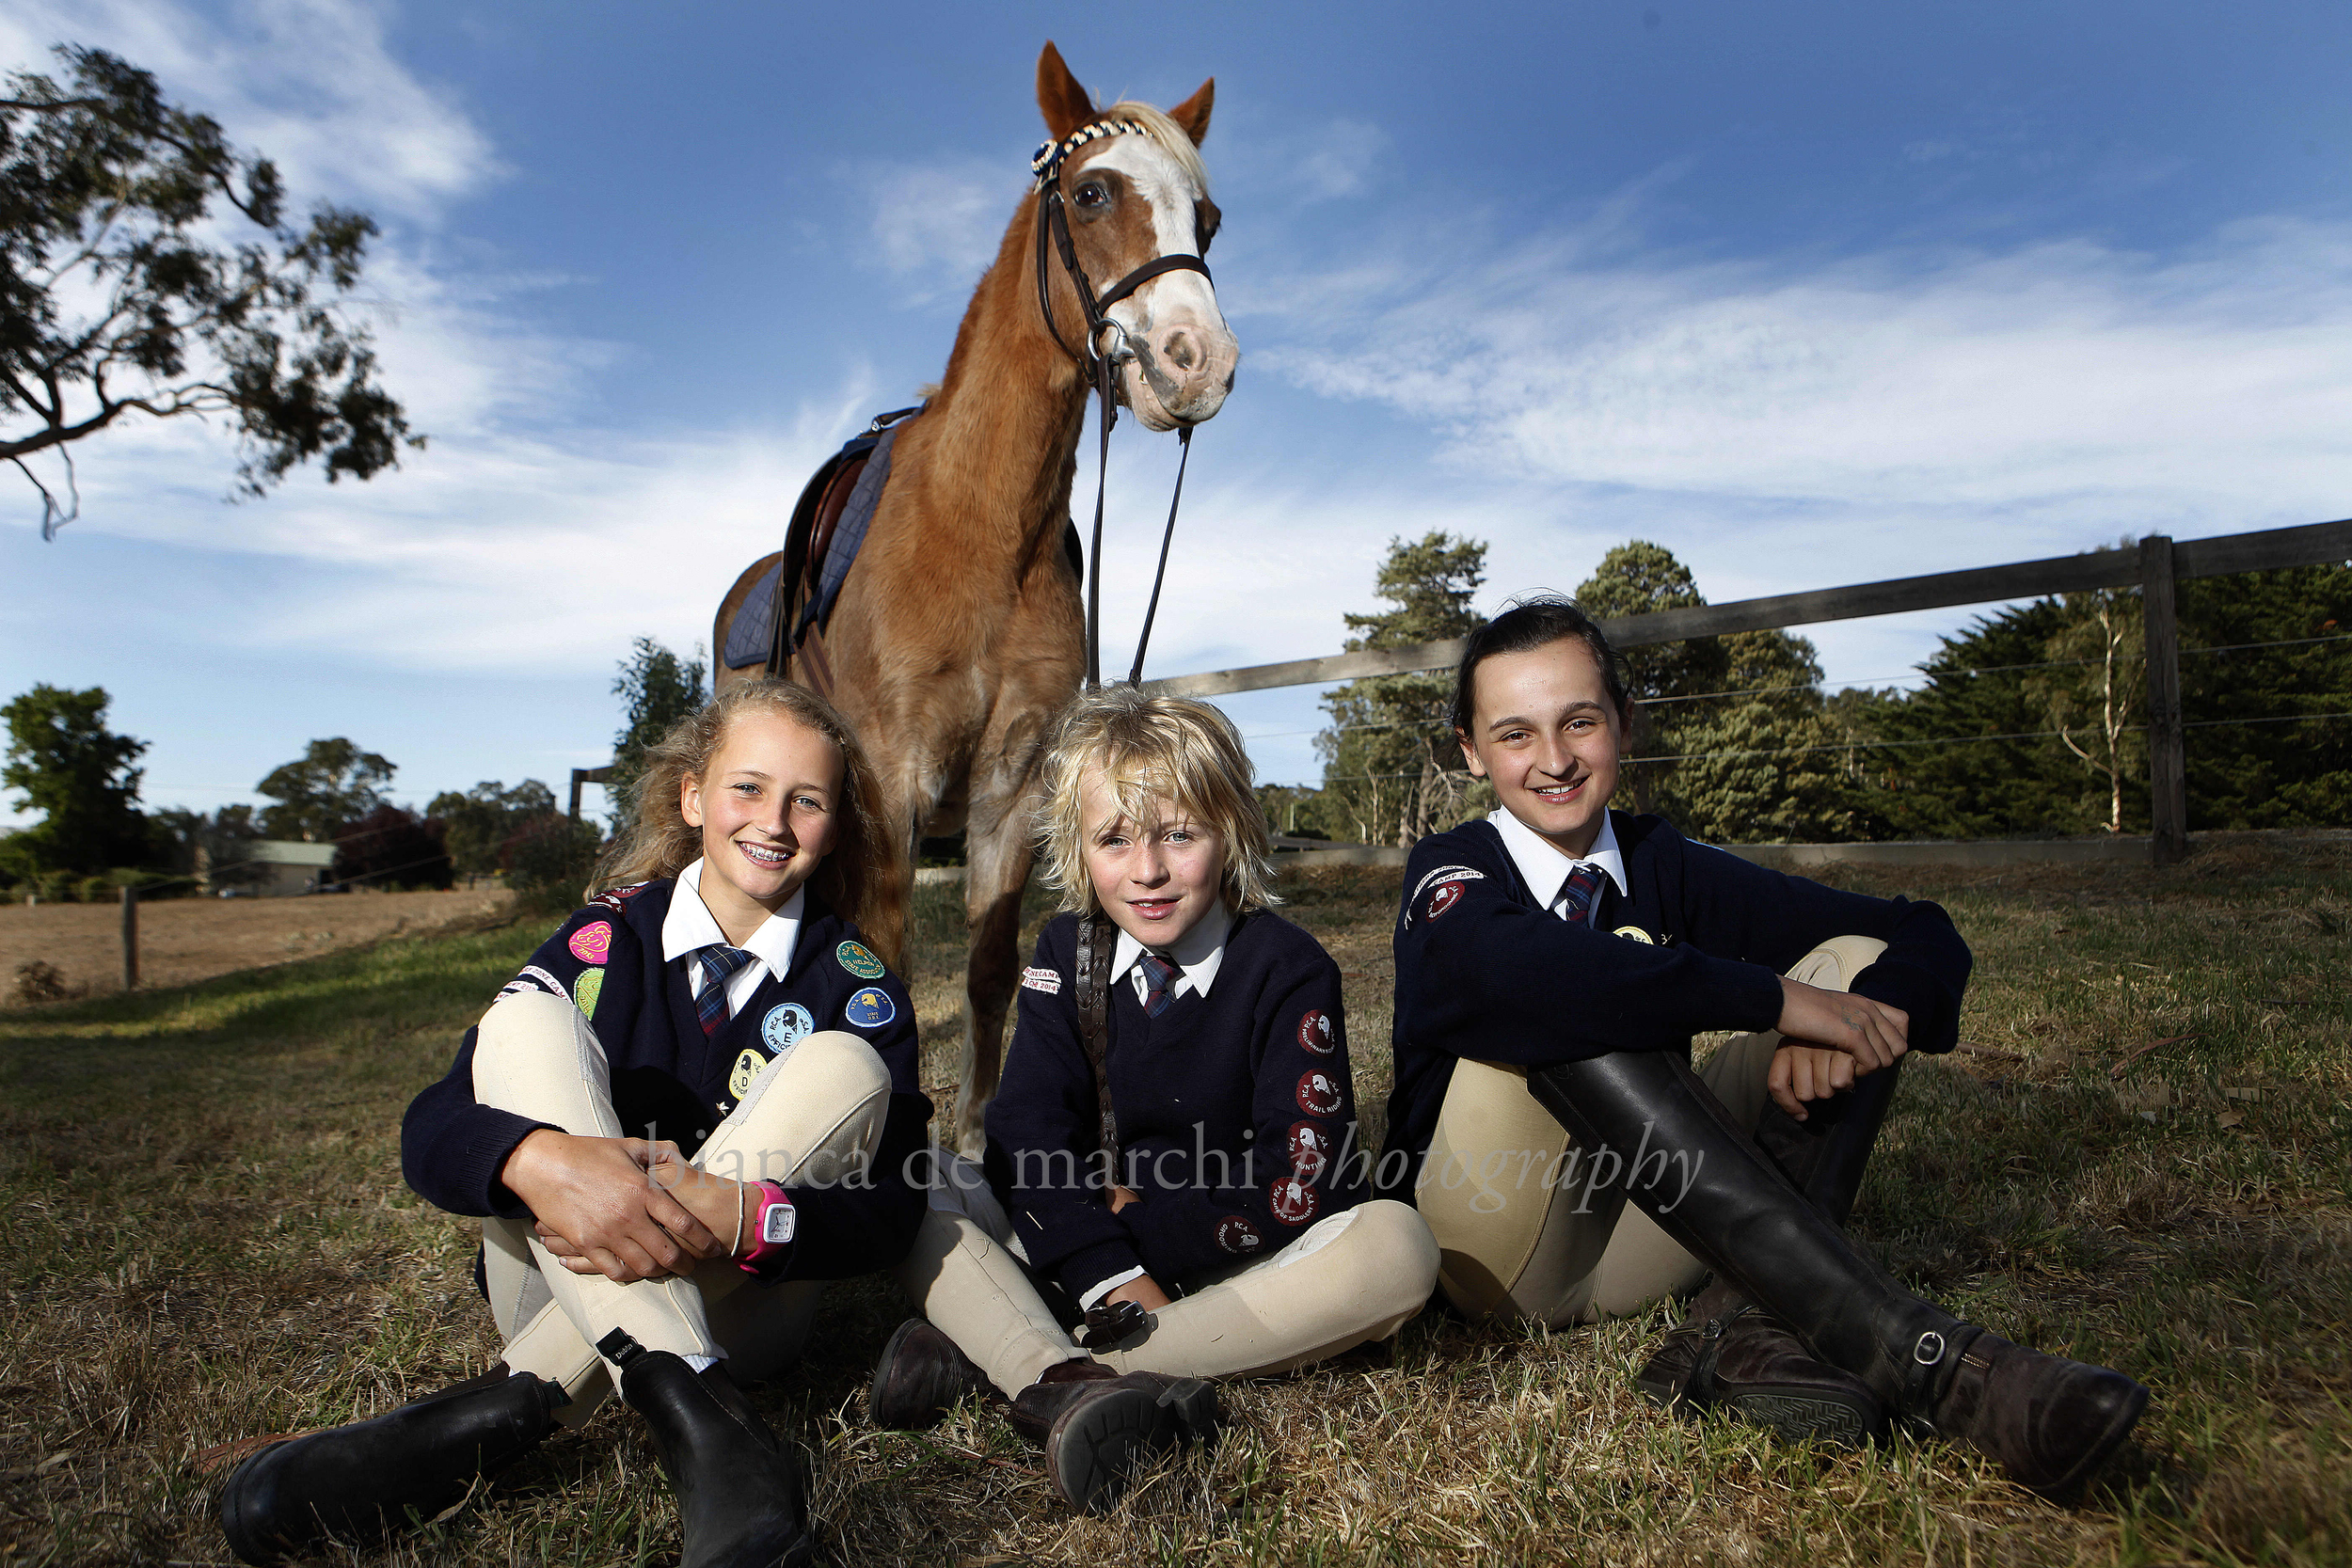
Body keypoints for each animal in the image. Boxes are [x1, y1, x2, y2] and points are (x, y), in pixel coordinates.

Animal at [710, 46, 1242, 1151]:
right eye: (1091, 194)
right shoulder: (888, 786)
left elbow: (992, 970)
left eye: (1207, 220)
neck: (980, 528)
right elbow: (886, 970)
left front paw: (973, 1139)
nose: (1199, 364)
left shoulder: (1009, 788)